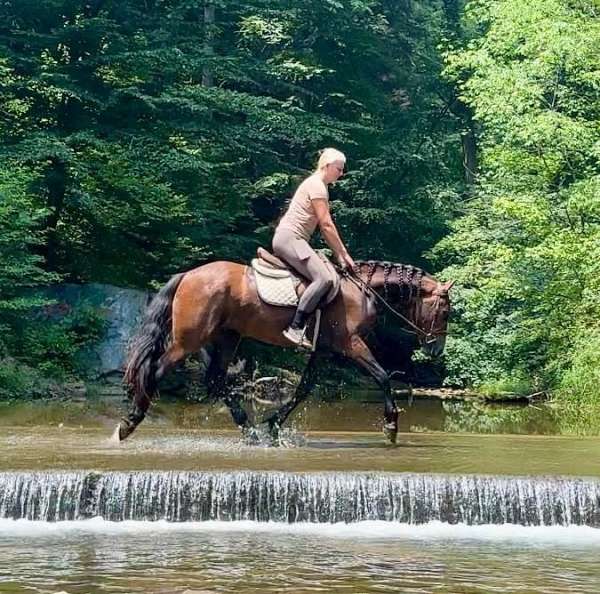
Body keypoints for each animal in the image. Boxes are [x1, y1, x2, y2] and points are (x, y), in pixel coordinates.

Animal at [119, 256, 452, 442]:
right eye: (446, 312)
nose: (436, 350)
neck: (361, 290)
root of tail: (188, 274)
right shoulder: (351, 344)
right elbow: (382, 376)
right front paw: (391, 424)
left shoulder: (324, 350)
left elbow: (303, 388)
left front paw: (273, 424)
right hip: (189, 340)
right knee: (156, 370)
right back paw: (130, 421)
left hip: (227, 336)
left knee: (216, 379)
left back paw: (249, 429)